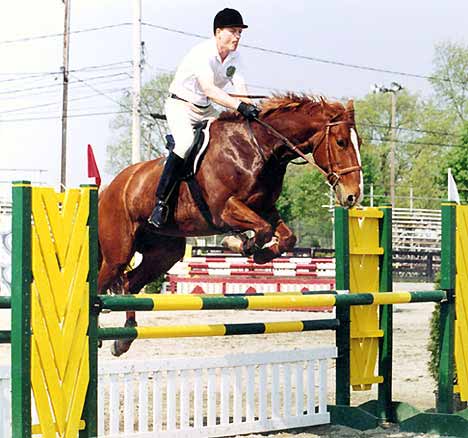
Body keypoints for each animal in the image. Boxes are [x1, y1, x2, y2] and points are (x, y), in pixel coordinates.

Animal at [98, 93, 362, 356]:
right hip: (118, 252)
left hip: (164, 253)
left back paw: (124, 339)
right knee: (101, 284)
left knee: (130, 282)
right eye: (341, 142)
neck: (258, 147)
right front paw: (238, 243)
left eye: (358, 141)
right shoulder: (225, 209)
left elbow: (286, 237)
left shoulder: (265, 209)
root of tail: (109, 189)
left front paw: (255, 252)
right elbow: (263, 231)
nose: (352, 196)